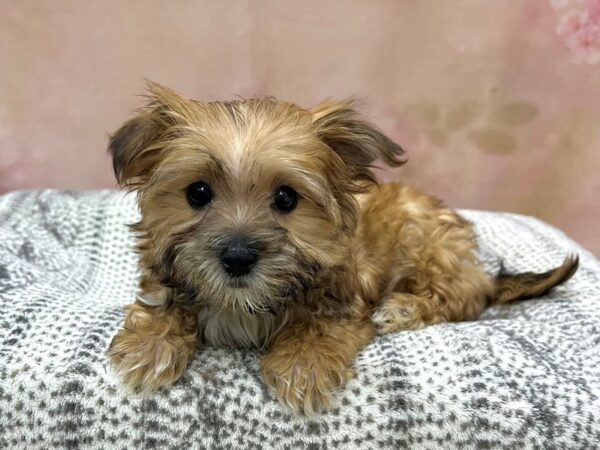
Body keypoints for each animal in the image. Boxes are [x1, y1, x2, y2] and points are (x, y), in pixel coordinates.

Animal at [106, 82, 576, 414]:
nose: (237, 259)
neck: (246, 304)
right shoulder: (167, 277)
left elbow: (319, 324)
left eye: (286, 198)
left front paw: (303, 365)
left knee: (464, 295)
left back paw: (404, 307)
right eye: (198, 193)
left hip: (425, 241)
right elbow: (164, 302)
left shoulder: (344, 299)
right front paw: (150, 345)